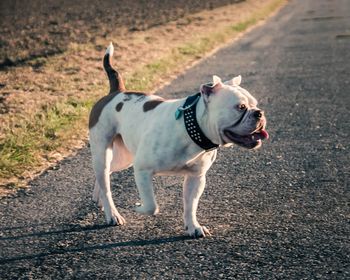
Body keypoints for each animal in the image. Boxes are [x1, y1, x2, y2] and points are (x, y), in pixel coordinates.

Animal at [88, 42, 268, 237]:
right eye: (240, 107)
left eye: (255, 104)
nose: (259, 113)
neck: (191, 128)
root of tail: (116, 92)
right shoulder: (142, 169)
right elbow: (151, 206)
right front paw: (138, 208)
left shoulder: (196, 178)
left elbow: (190, 205)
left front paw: (193, 226)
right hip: (103, 152)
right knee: (105, 179)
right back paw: (112, 213)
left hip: (125, 159)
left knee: (106, 174)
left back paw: (99, 198)